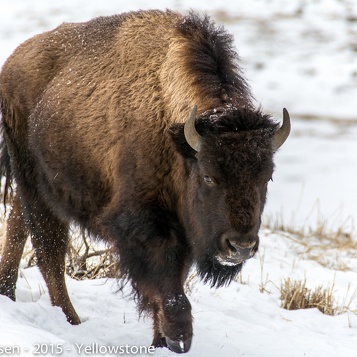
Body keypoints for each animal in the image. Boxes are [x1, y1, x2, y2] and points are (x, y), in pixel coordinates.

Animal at [0, 9, 290, 354]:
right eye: (208, 176)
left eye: (267, 177)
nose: (240, 246)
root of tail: (14, 60)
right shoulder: (142, 227)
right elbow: (168, 289)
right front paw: (179, 337)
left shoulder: (183, 231)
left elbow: (170, 284)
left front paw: (161, 341)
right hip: (35, 183)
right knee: (50, 253)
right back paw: (71, 321)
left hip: (37, 188)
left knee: (19, 226)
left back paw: (8, 293)